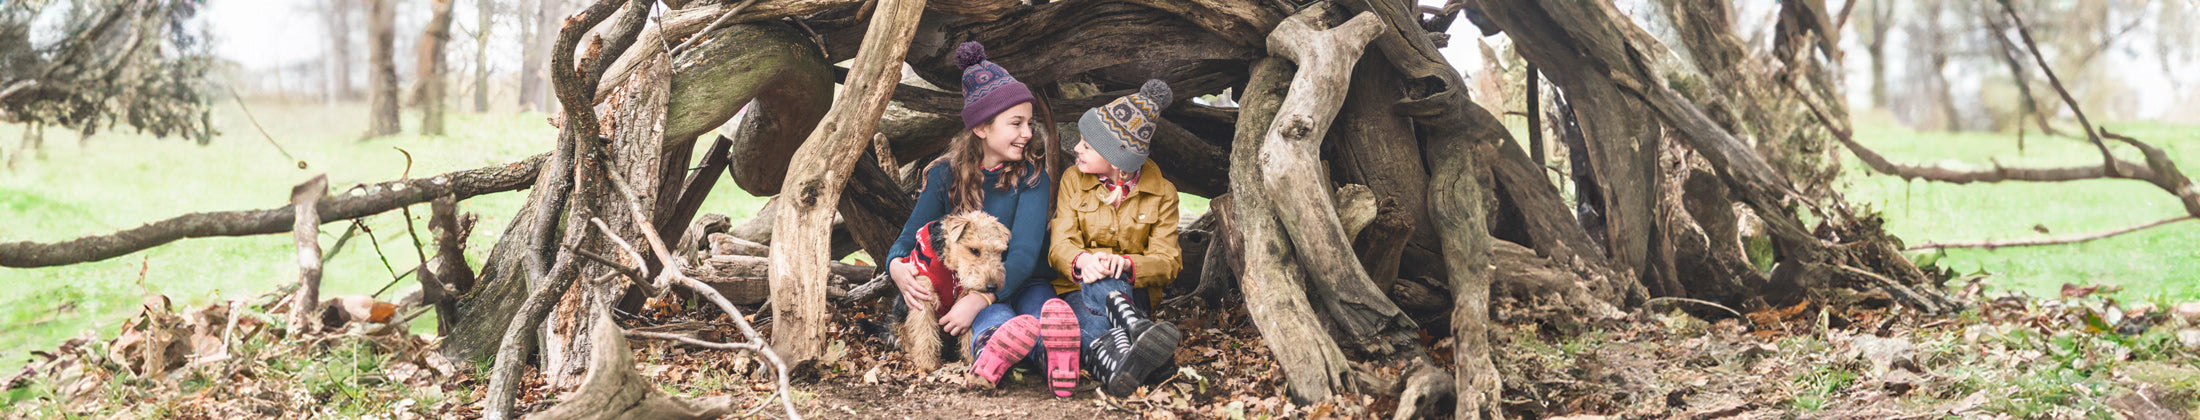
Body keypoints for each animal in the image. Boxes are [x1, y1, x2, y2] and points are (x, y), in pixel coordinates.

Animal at [893, 211, 1012, 371]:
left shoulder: (964, 300)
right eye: (974, 250)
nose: (992, 286)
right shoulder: (923, 296)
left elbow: (966, 330)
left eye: (998, 251)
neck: (950, 268)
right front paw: (927, 363)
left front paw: (970, 358)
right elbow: (925, 330)